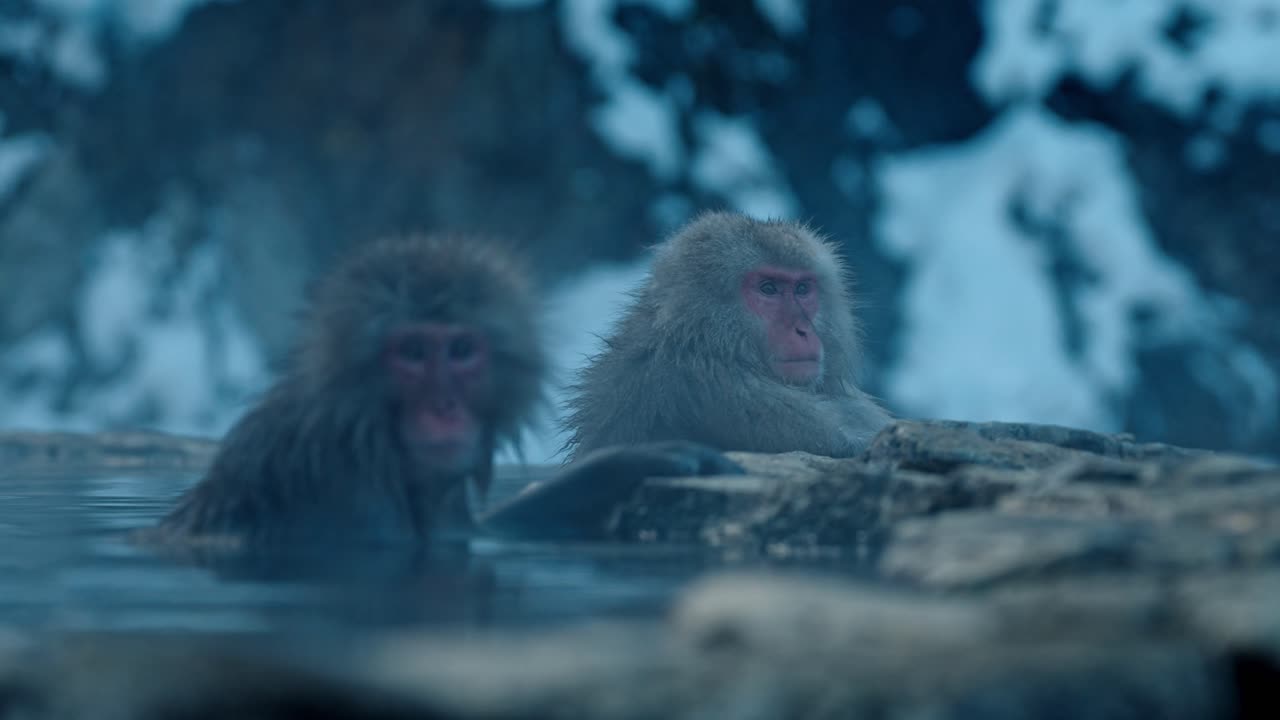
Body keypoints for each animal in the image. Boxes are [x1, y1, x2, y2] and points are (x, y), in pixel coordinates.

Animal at [149, 233, 740, 549]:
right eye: (412, 352)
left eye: (460, 351)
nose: (444, 407)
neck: (360, 427)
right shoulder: (348, 489)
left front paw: (623, 466)